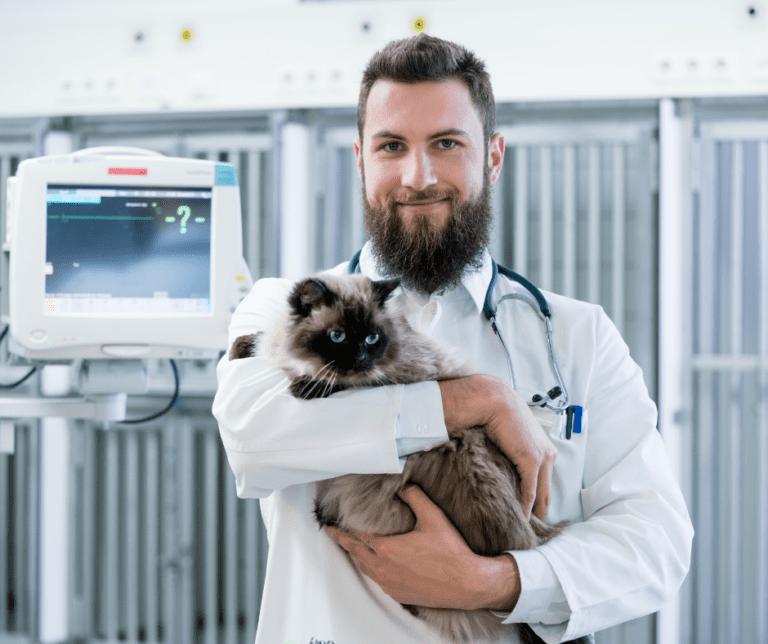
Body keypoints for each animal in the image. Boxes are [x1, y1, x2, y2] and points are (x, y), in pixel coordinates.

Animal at [228, 274, 588, 644]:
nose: (360, 359)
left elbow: (338, 383)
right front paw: (241, 348)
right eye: (338, 336)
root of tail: (534, 534)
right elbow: (257, 344)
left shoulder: (392, 376)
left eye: (371, 338)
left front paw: (306, 386)